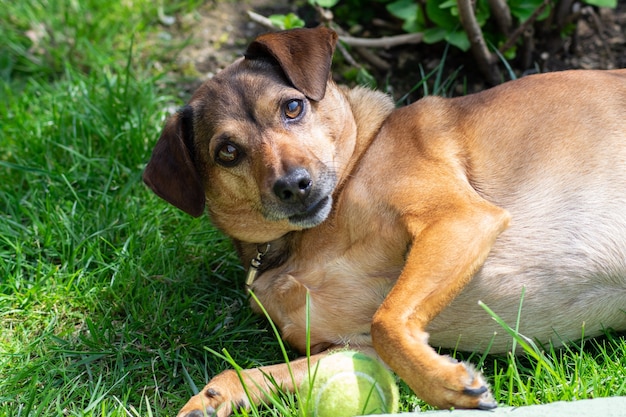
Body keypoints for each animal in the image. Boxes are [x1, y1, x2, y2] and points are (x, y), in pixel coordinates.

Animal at [143, 26, 624, 416]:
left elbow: (389, 320)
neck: (302, 243)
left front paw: (446, 385)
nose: (294, 185)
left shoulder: (459, 218)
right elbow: (254, 373)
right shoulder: (351, 349)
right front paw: (212, 399)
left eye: (293, 107)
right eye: (228, 152)